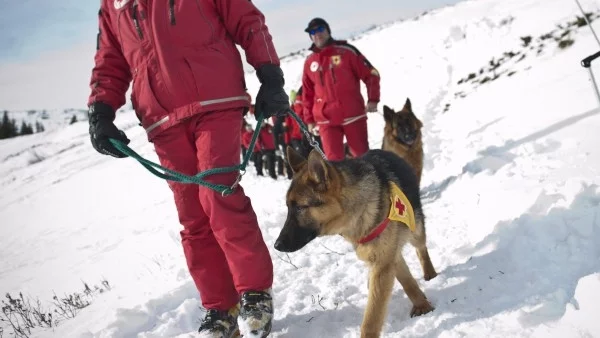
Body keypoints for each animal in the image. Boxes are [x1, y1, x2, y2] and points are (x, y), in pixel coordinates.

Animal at [276, 147, 436, 336]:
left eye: (300, 208)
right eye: (288, 207)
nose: (276, 245)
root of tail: (388, 152)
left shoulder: (383, 263)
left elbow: (372, 316)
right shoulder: (384, 259)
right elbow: (405, 281)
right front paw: (421, 303)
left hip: (415, 230)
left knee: (421, 248)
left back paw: (430, 274)